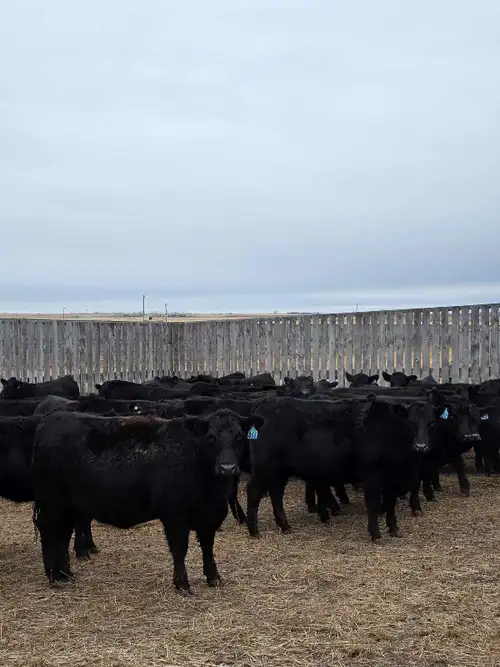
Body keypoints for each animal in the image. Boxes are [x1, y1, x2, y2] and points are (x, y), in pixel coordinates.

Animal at [32, 409, 265, 592]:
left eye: (239, 437)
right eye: (211, 438)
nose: (227, 467)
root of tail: (50, 419)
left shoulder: (209, 515)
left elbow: (208, 546)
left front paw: (213, 578)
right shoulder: (174, 516)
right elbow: (180, 549)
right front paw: (182, 584)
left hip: (68, 507)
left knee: (62, 535)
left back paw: (65, 574)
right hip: (52, 504)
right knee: (49, 533)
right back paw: (54, 576)